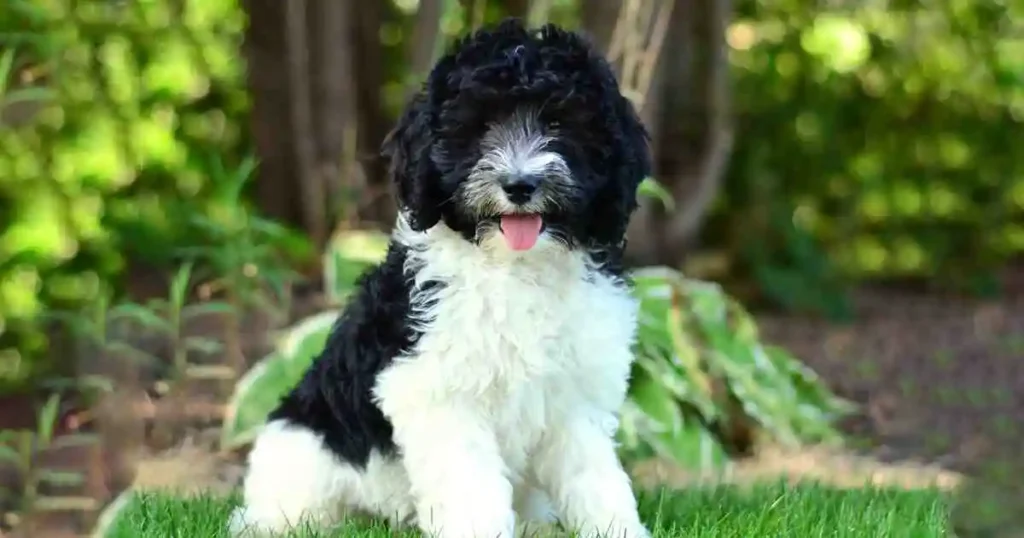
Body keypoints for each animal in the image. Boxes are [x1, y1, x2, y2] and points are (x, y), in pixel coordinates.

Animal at [229, 16, 651, 536]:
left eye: (558, 123)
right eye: (481, 126)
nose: (519, 185)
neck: (515, 266)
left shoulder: (575, 394)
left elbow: (593, 475)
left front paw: (616, 526)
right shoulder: (437, 391)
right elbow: (471, 484)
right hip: (303, 448)